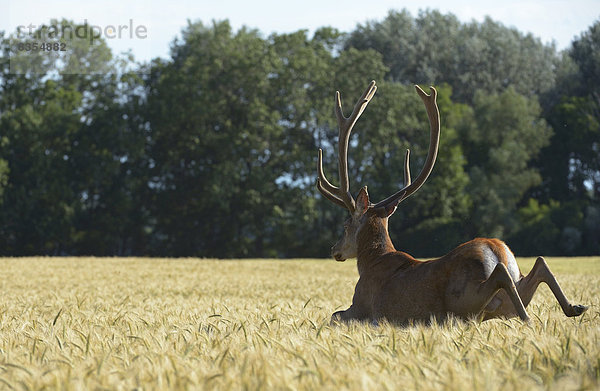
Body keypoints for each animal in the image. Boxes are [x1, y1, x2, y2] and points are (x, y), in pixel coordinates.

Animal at [316, 81, 588, 326]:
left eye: (346, 225)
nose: (334, 250)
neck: (370, 262)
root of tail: (495, 249)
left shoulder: (361, 306)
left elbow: (334, 315)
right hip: (504, 299)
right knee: (539, 263)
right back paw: (575, 307)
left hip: (464, 300)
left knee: (502, 276)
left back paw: (532, 320)